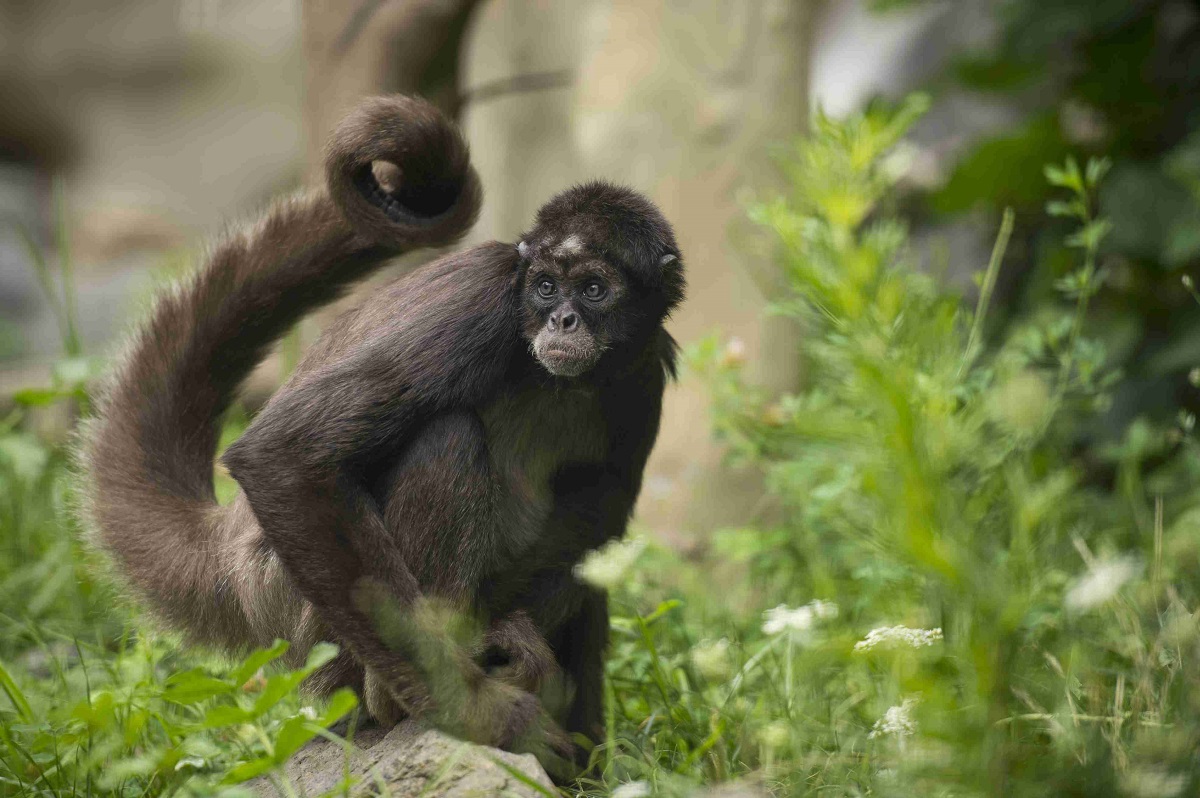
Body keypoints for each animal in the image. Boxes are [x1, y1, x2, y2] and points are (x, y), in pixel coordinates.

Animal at [82, 94, 686, 772]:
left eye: (594, 288)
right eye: (547, 286)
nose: (562, 319)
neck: (554, 378)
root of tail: (233, 557)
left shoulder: (643, 367)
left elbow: (596, 519)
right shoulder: (481, 298)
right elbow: (283, 456)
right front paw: (481, 712)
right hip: (308, 624)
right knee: (448, 438)